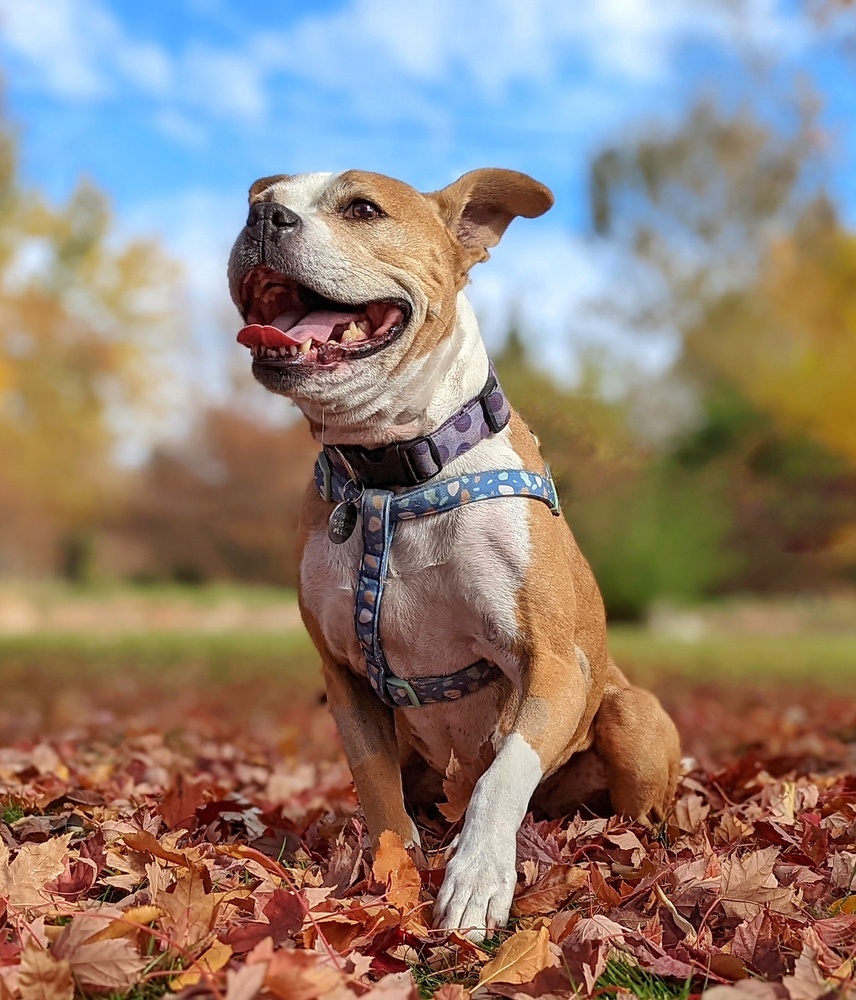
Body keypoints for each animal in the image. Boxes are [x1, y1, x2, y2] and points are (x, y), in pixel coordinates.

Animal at [229, 168, 684, 940]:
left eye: (362, 209)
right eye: (260, 198)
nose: (264, 216)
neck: (392, 474)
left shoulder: (552, 665)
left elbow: (503, 773)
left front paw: (475, 880)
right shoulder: (345, 676)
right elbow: (376, 787)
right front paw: (394, 872)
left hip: (630, 717)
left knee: (626, 809)